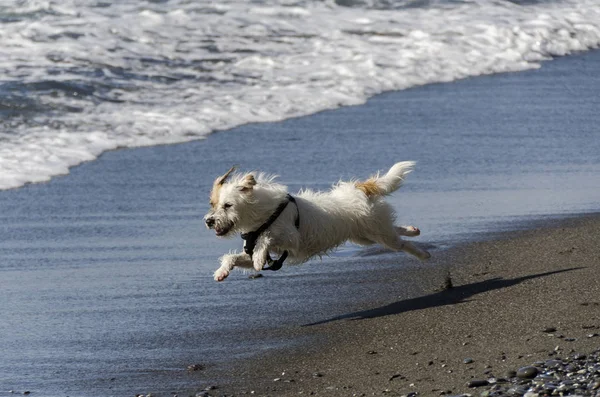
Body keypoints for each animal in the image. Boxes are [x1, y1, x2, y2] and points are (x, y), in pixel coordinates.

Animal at [204, 161, 428, 282]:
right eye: (213, 204)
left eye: (228, 205)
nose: (208, 221)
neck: (265, 215)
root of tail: (360, 188)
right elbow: (232, 257)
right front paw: (222, 271)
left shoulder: (291, 239)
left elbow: (266, 238)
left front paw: (259, 256)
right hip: (366, 236)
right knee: (395, 230)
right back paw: (412, 230)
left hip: (377, 233)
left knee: (401, 244)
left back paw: (423, 254)